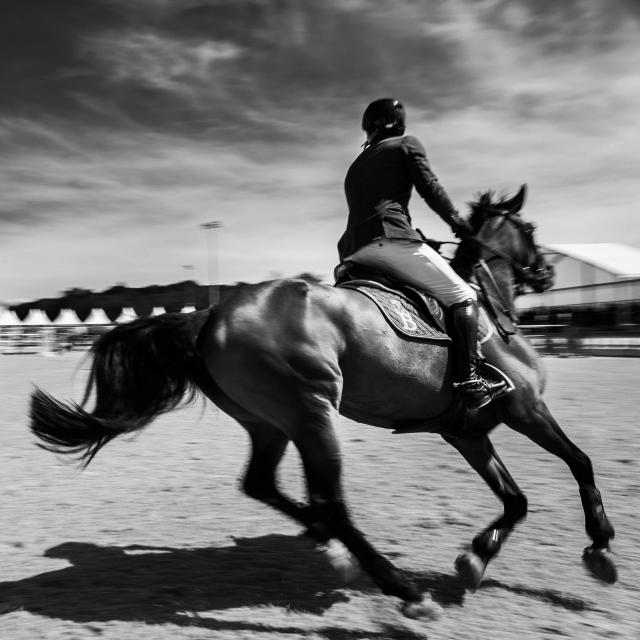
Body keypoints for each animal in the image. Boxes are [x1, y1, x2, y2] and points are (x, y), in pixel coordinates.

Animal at [28, 185, 616, 620]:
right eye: (531, 232)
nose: (548, 273)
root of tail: (210, 315)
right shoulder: (524, 409)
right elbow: (580, 462)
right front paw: (601, 547)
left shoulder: (466, 432)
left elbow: (516, 500)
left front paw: (475, 559)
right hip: (314, 411)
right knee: (330, 500)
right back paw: (403, 590)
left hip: (271, 421)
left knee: (263, 484)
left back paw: (330, 544)